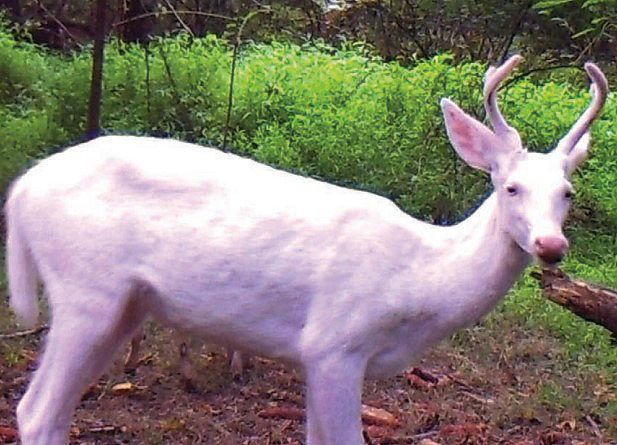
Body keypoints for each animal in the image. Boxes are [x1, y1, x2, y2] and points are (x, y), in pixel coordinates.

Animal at [6, 56, 608, 444]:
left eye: (568, 193)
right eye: (510, 188)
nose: (551, 245)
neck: (419, 279)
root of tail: (20, 190)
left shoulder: (320, 358)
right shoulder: (333, 343)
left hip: (125, 306)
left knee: (53, 412)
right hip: (86, 290)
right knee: (34, 411)